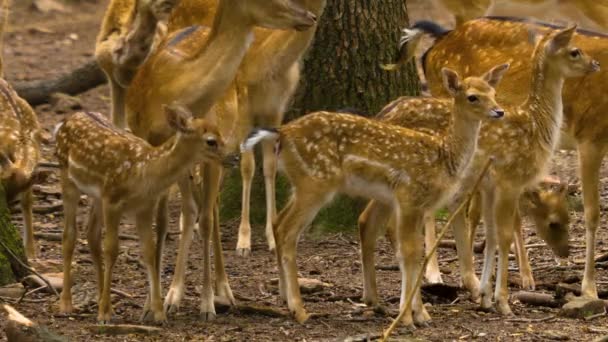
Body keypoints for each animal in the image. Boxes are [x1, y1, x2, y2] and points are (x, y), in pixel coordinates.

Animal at [121, 0, 316, 320]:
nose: (310, 16)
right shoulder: (153, 143)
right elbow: (160, 222)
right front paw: (153, 304)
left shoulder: (214, 150)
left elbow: (206, 221)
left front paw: (206, 302)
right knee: (193, 209)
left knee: (209, 211)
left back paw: (223, 290)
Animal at [241, 62, 508, 324]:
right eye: (472, 96)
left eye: (493, 93)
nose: (499, 111)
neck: (444, 157)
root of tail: (282, 132)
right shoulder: (409, 196)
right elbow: (411, 252)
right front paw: (411, 317)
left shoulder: (418, 204)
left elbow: (414, 252)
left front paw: (418, 313)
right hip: (315, 182)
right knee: (289, 231)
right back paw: (300, 310)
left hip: (302, 184)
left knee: (278, 223)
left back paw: (289, 299)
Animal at [390, 23, 600, 312]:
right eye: (574, 51)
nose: (595, 64)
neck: (534, 124)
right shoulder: (508, 180)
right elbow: (504, 234)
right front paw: (503, 299)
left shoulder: (491, 185)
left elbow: (491, 234)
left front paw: (486, 295)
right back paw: (427, 288)